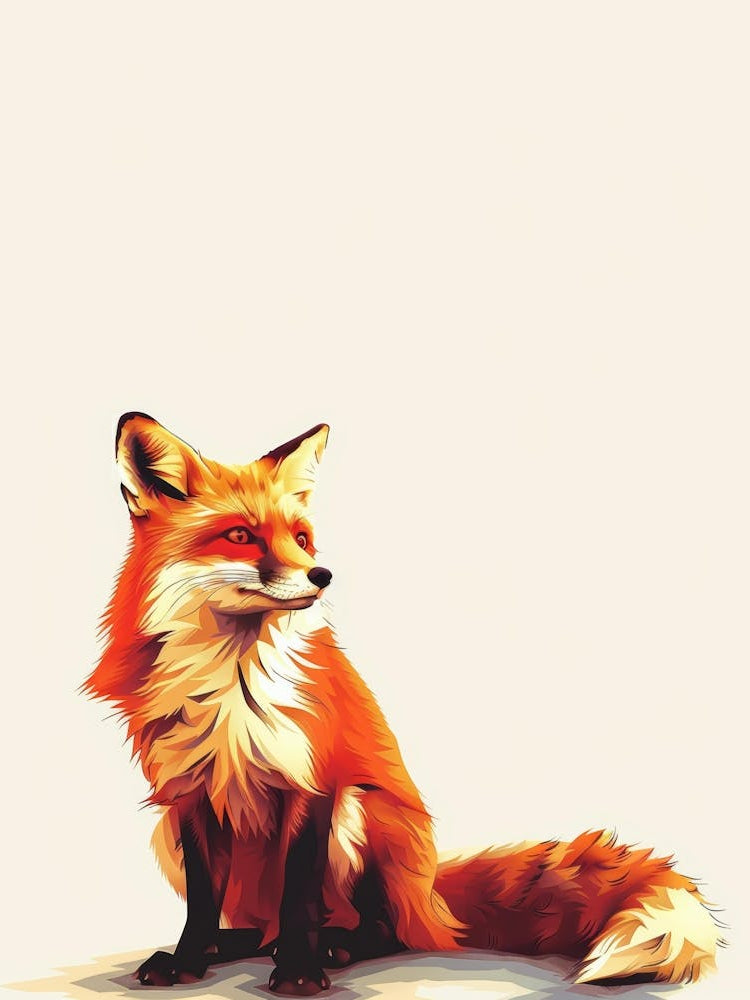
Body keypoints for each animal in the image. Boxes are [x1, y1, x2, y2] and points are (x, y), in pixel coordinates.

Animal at [84, 413, 722, 994]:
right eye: (241, 535)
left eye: (302, 538)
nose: (322, 574)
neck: (231, 687)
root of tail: (431, 895)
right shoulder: (188, 793)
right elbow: (201, 899)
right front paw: (189, 961)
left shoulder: (317, 784)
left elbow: (298, 895)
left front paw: (298, 972)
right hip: (164, 831)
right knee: (258, 927)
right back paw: (236, 944)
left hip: (364, 812)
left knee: (383, 931)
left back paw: (334, 948)